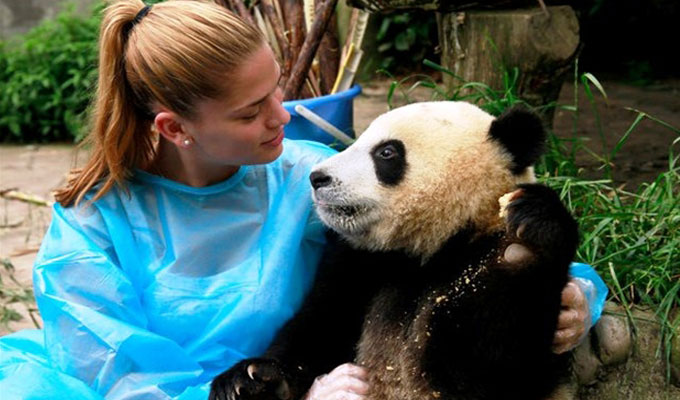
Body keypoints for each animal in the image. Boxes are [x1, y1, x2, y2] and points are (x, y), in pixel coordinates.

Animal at [211, 101, 580, 400]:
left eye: (386, 152)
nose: (318, 178)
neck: (429, 247)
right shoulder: (362, 262)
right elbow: (317, 326)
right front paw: (251, 379)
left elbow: (499, 368)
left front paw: (525, 237)